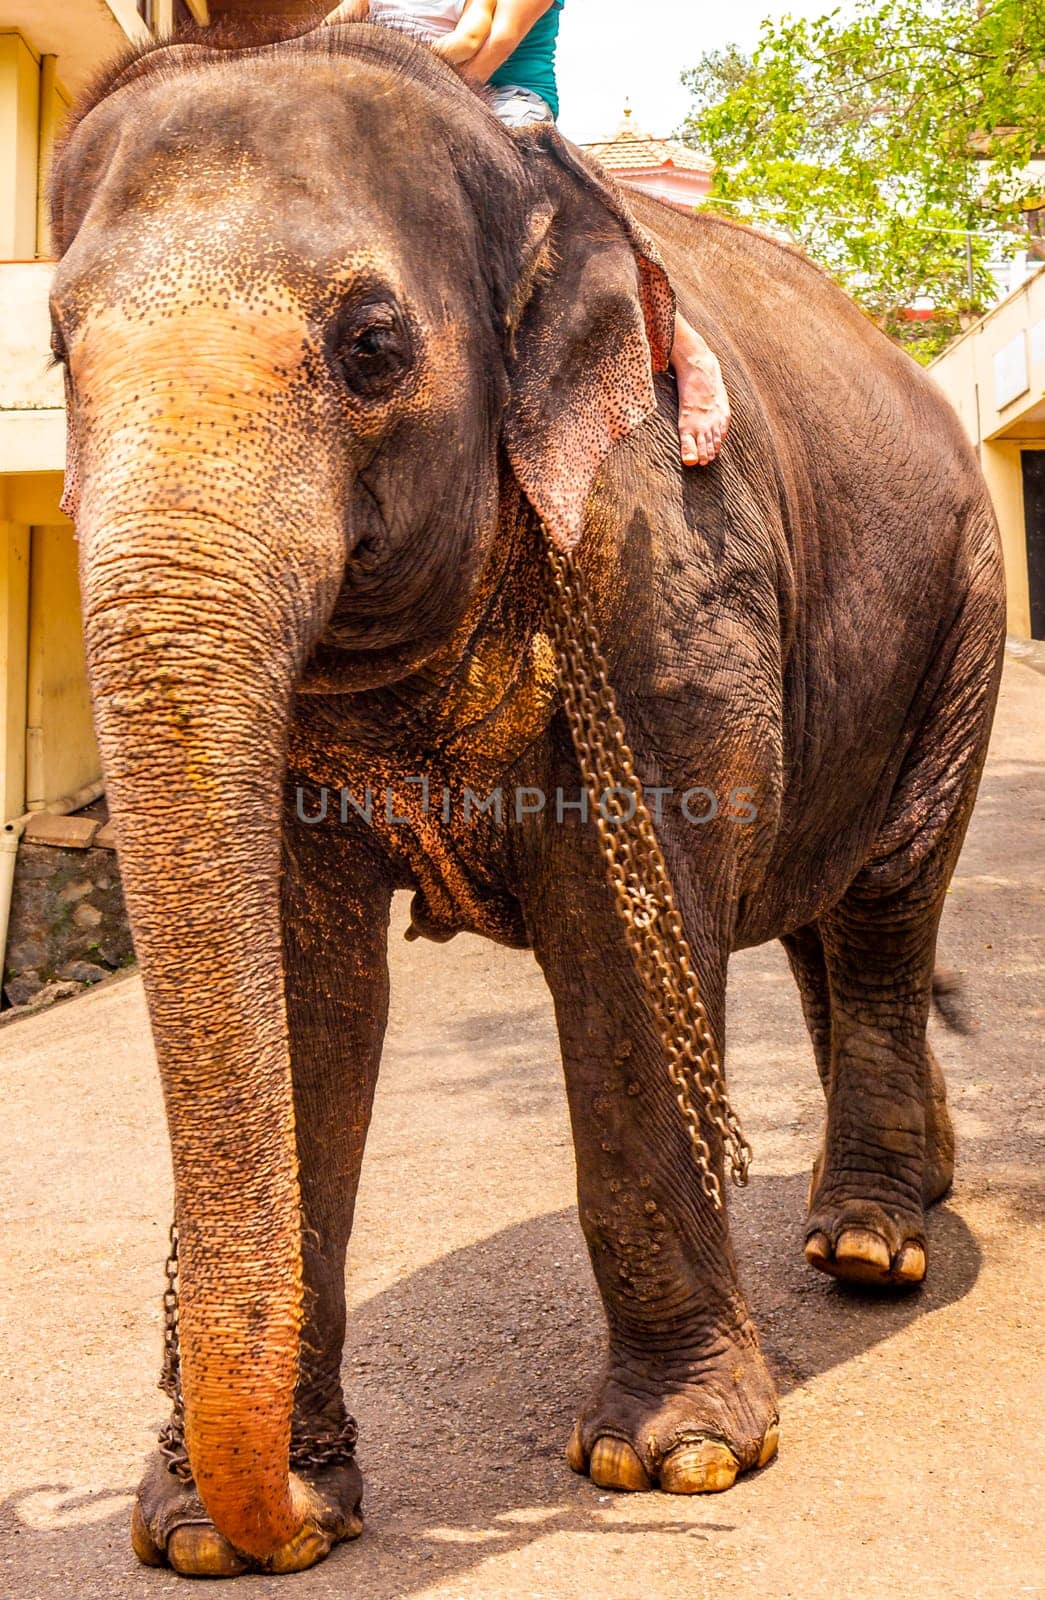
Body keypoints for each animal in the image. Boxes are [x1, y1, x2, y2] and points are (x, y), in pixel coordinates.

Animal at [46, 18, 1004, 1580]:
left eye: (372, 346)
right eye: (61, 352)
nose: (274, 1524)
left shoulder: (669, 576)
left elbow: (622, 955)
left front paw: (672, 1458)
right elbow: (304, 999)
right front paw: (209, 1533)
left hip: (963, 611)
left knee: (881, 901)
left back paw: (869, 1247)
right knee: (821, 911)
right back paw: (898, 1201)